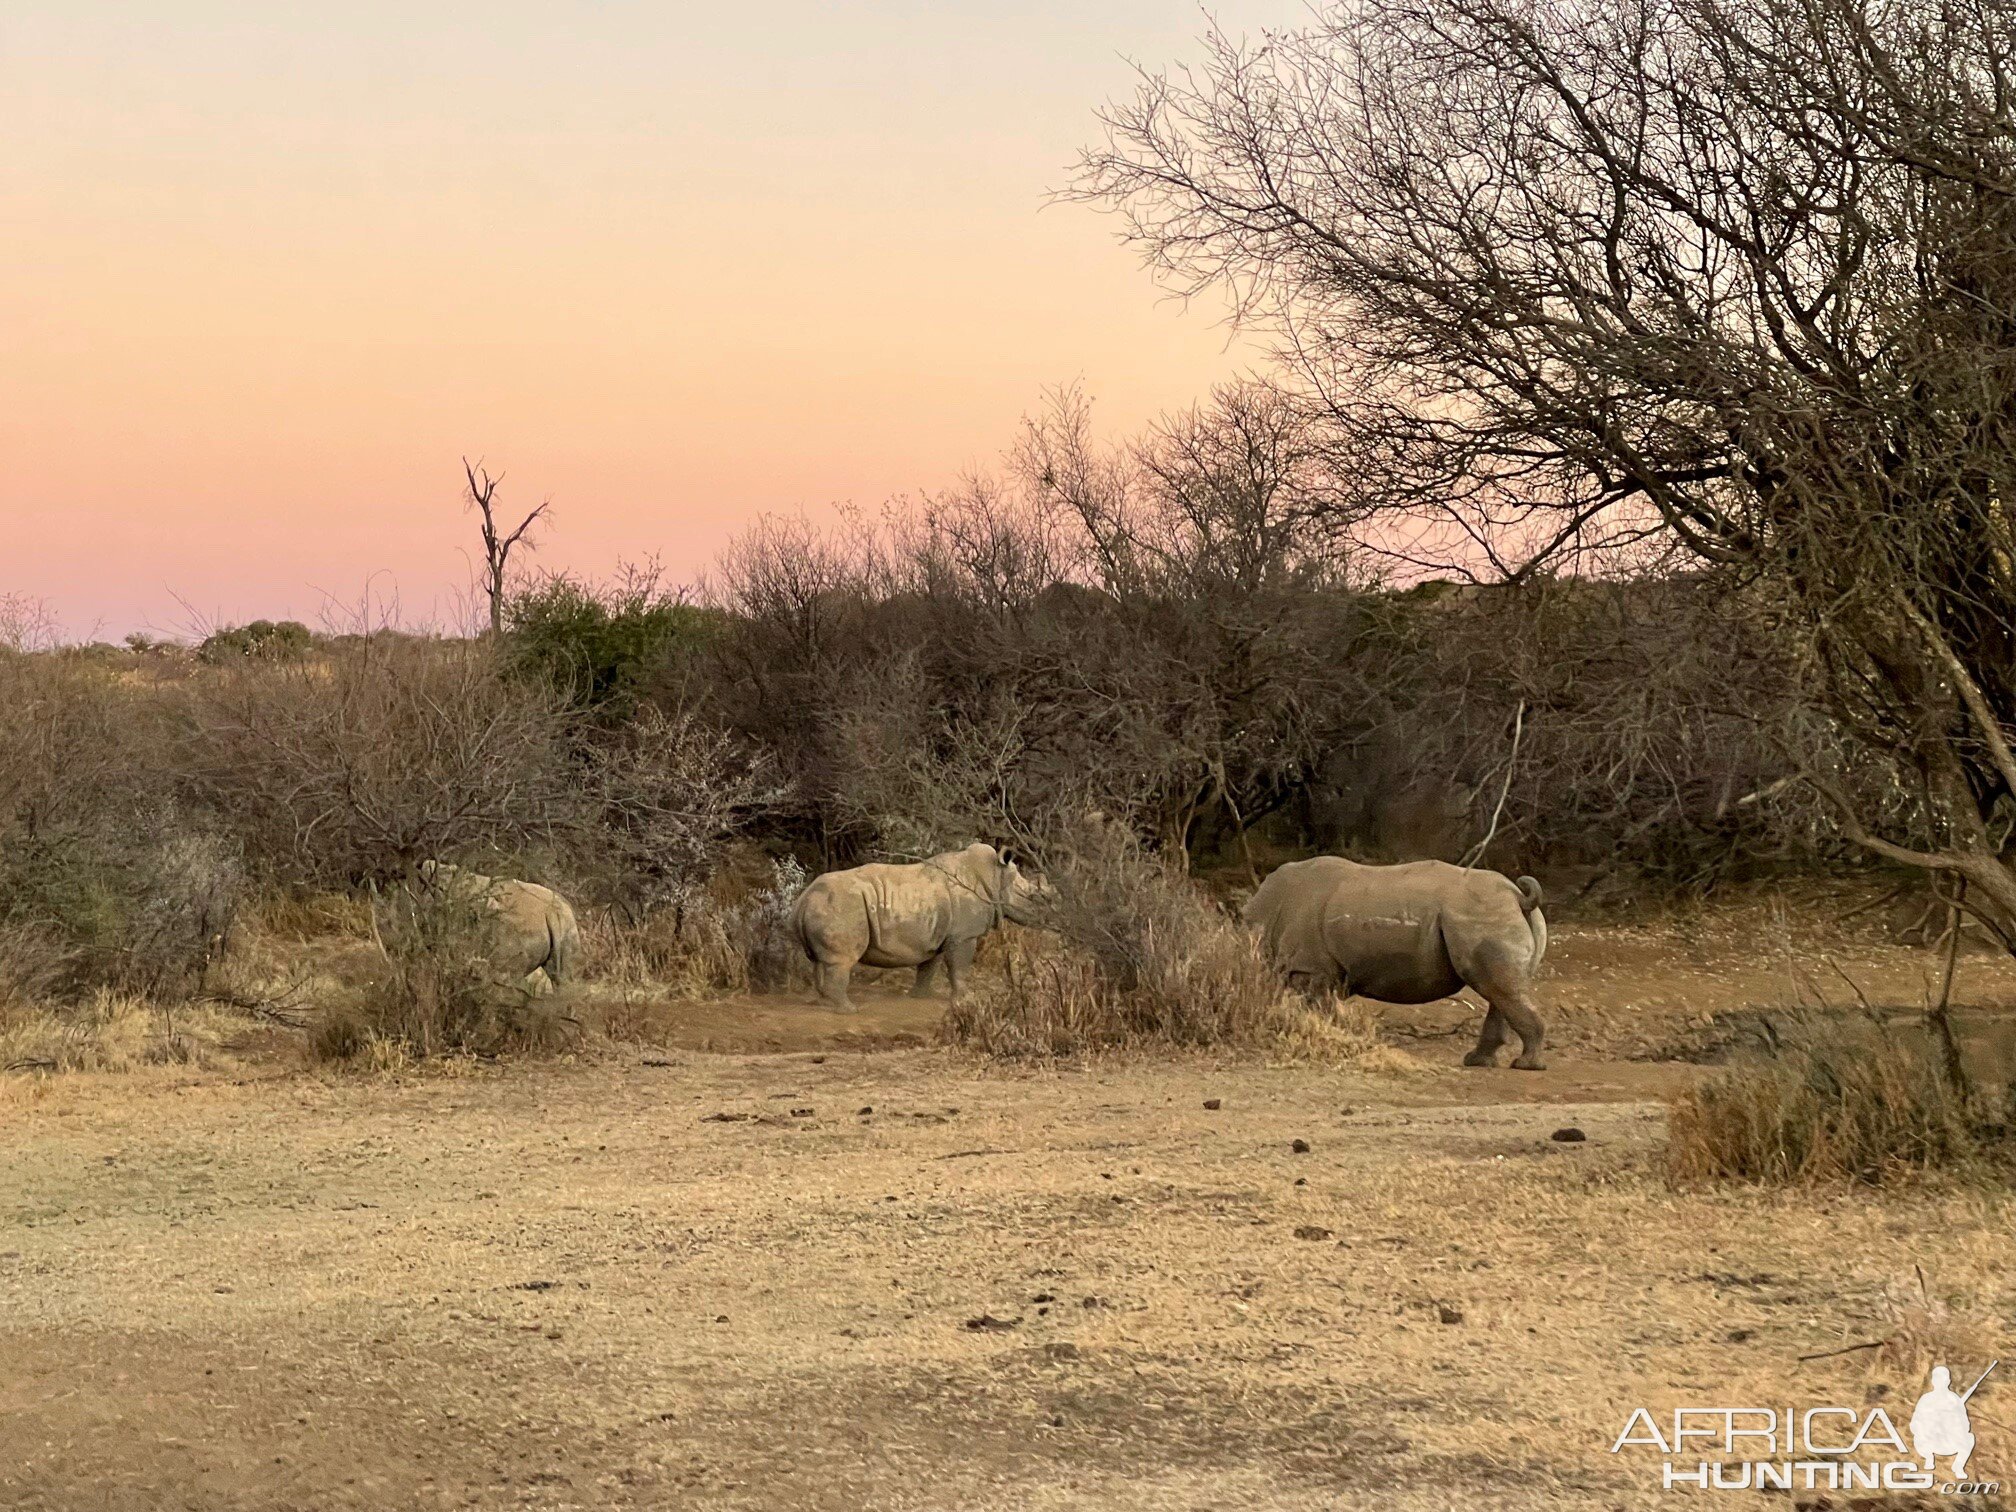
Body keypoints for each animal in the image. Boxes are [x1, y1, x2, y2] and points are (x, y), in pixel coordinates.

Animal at [782, 846, 1048, 1012]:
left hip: (824, 904)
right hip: (843, 905)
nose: (1049, 918)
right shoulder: (964, 936)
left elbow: (928, 967)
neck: (995, 876)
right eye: (1034, 898)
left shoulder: (938, 935)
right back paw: (849, 1010)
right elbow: (959, 969)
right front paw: (964, 1000)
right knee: (841, 960)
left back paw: (824, 1004)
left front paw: (920, 997)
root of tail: (802, 901)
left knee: (819, 960)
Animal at [1233, 858, 1548, 1072]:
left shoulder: (1310, 969)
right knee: (1502, 989)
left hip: (1480, 914)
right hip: (1498, 915)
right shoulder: (1319, 972)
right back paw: (1479, 1062)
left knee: (1496, 987)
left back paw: (1525, 1065)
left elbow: (1317, 1009)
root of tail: (1517, 896)